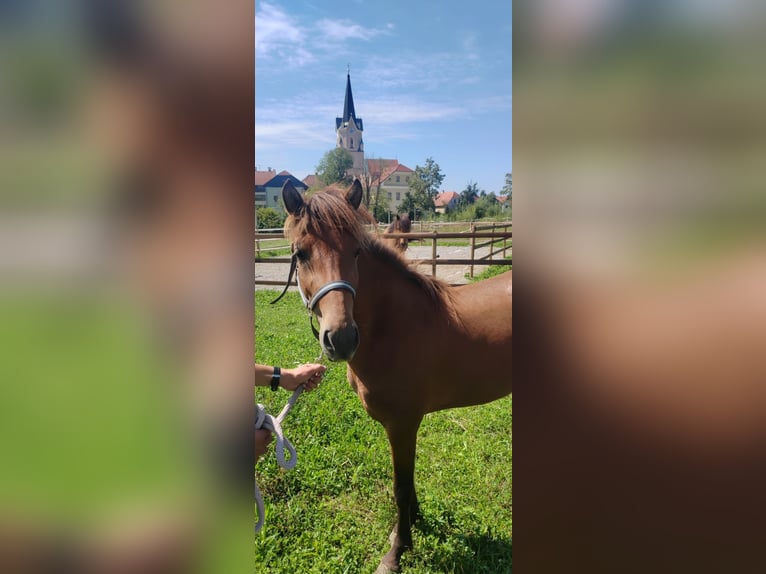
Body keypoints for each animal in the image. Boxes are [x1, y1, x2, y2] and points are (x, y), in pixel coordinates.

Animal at [272, 181, 512, 574]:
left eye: (356, 251)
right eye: (301, 253)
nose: (341, 339)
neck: (395, 325)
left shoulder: (403, 423)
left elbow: (400, 486)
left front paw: (397, 551)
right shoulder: (401, 426)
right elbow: (407, 482)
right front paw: (412, 523)